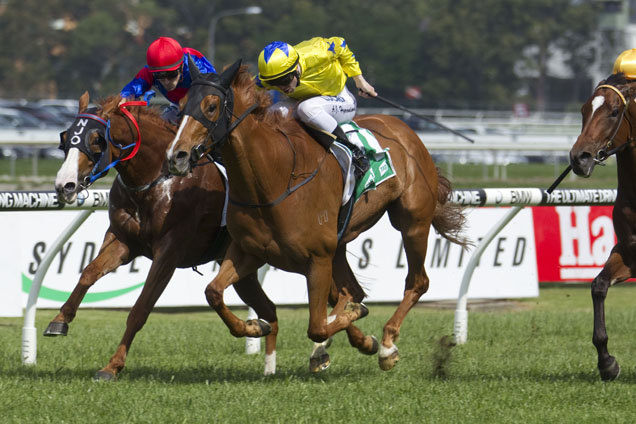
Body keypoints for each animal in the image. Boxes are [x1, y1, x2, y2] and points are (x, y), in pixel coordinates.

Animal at [48, 92, 278, 378]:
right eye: (66, 139)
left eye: (96, 140)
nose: (64, 185)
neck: (154, 180)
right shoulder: (123, 242)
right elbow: (89, 272)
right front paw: (60, 320)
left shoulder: (169, 253)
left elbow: (140, 308)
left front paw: (113, 366)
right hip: (242, 267)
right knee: (269, 309)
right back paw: (266, 350)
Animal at [166, 60, 470, 372]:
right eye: (181, 106)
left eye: (211, 106)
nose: (176, 156)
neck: (273, 177)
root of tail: (402, 128)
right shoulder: (250, 251)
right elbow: (213, 292)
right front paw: (255, 326)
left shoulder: (318, 258)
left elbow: (318, 326)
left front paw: (352, 325)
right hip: (342, 242)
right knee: (353, 290)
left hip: (412, 221)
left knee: (417, 281)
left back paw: (387, 345)